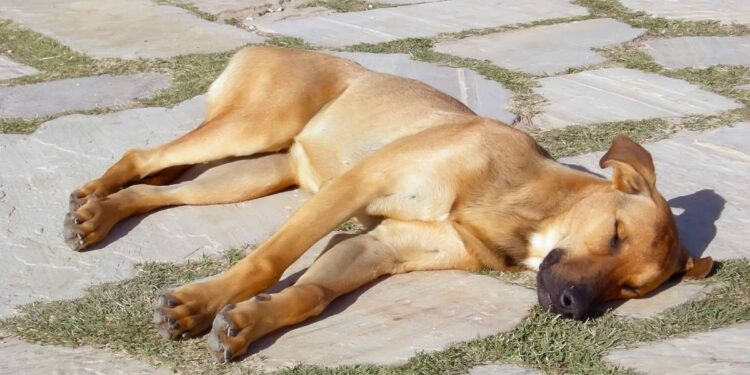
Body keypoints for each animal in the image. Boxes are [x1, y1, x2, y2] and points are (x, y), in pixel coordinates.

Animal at [66, 45, 716, 362]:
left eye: (630, 288)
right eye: (614, 234)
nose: (573, 306)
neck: (526, 205)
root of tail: (263, 45)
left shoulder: (380, 246)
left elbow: (311, 293)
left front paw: (248, 322)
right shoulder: (355, 188)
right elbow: (269, 260)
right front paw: (198, 304)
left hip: (258, 171)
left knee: (159, 187)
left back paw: (99, 213)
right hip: (252, 128)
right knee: (142, 153)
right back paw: (94, 199)